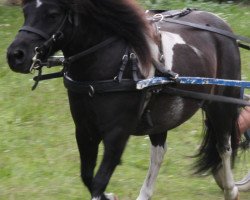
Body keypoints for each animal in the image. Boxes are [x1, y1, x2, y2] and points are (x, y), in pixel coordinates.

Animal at [7, 0, 242, 200]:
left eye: (53, 15)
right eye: (25, 12)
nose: (15, 55)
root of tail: (221, 25)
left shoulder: (117, 134)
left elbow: (99, 180)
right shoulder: (84, 130)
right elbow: (87, 176)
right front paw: (110, 195)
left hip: (220, 104)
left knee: (224, 146)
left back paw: (231, 190)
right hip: (160, 118)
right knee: (158, 153)